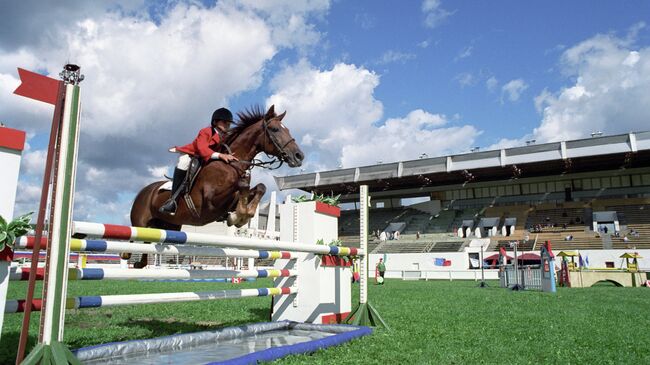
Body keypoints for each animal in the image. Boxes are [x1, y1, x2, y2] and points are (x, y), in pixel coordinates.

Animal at [126, 105, 304, 268]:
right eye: (275, 129)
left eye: (287, 129)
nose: (299, 156)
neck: (231, 165)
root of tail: (144, 191)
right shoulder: (210, 202)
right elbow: (242, 185)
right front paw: (238, 217)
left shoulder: (229, 201)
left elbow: (259, 188)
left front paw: (239, 216)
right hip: (140, 223)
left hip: (170, 226)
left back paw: (139, 263)